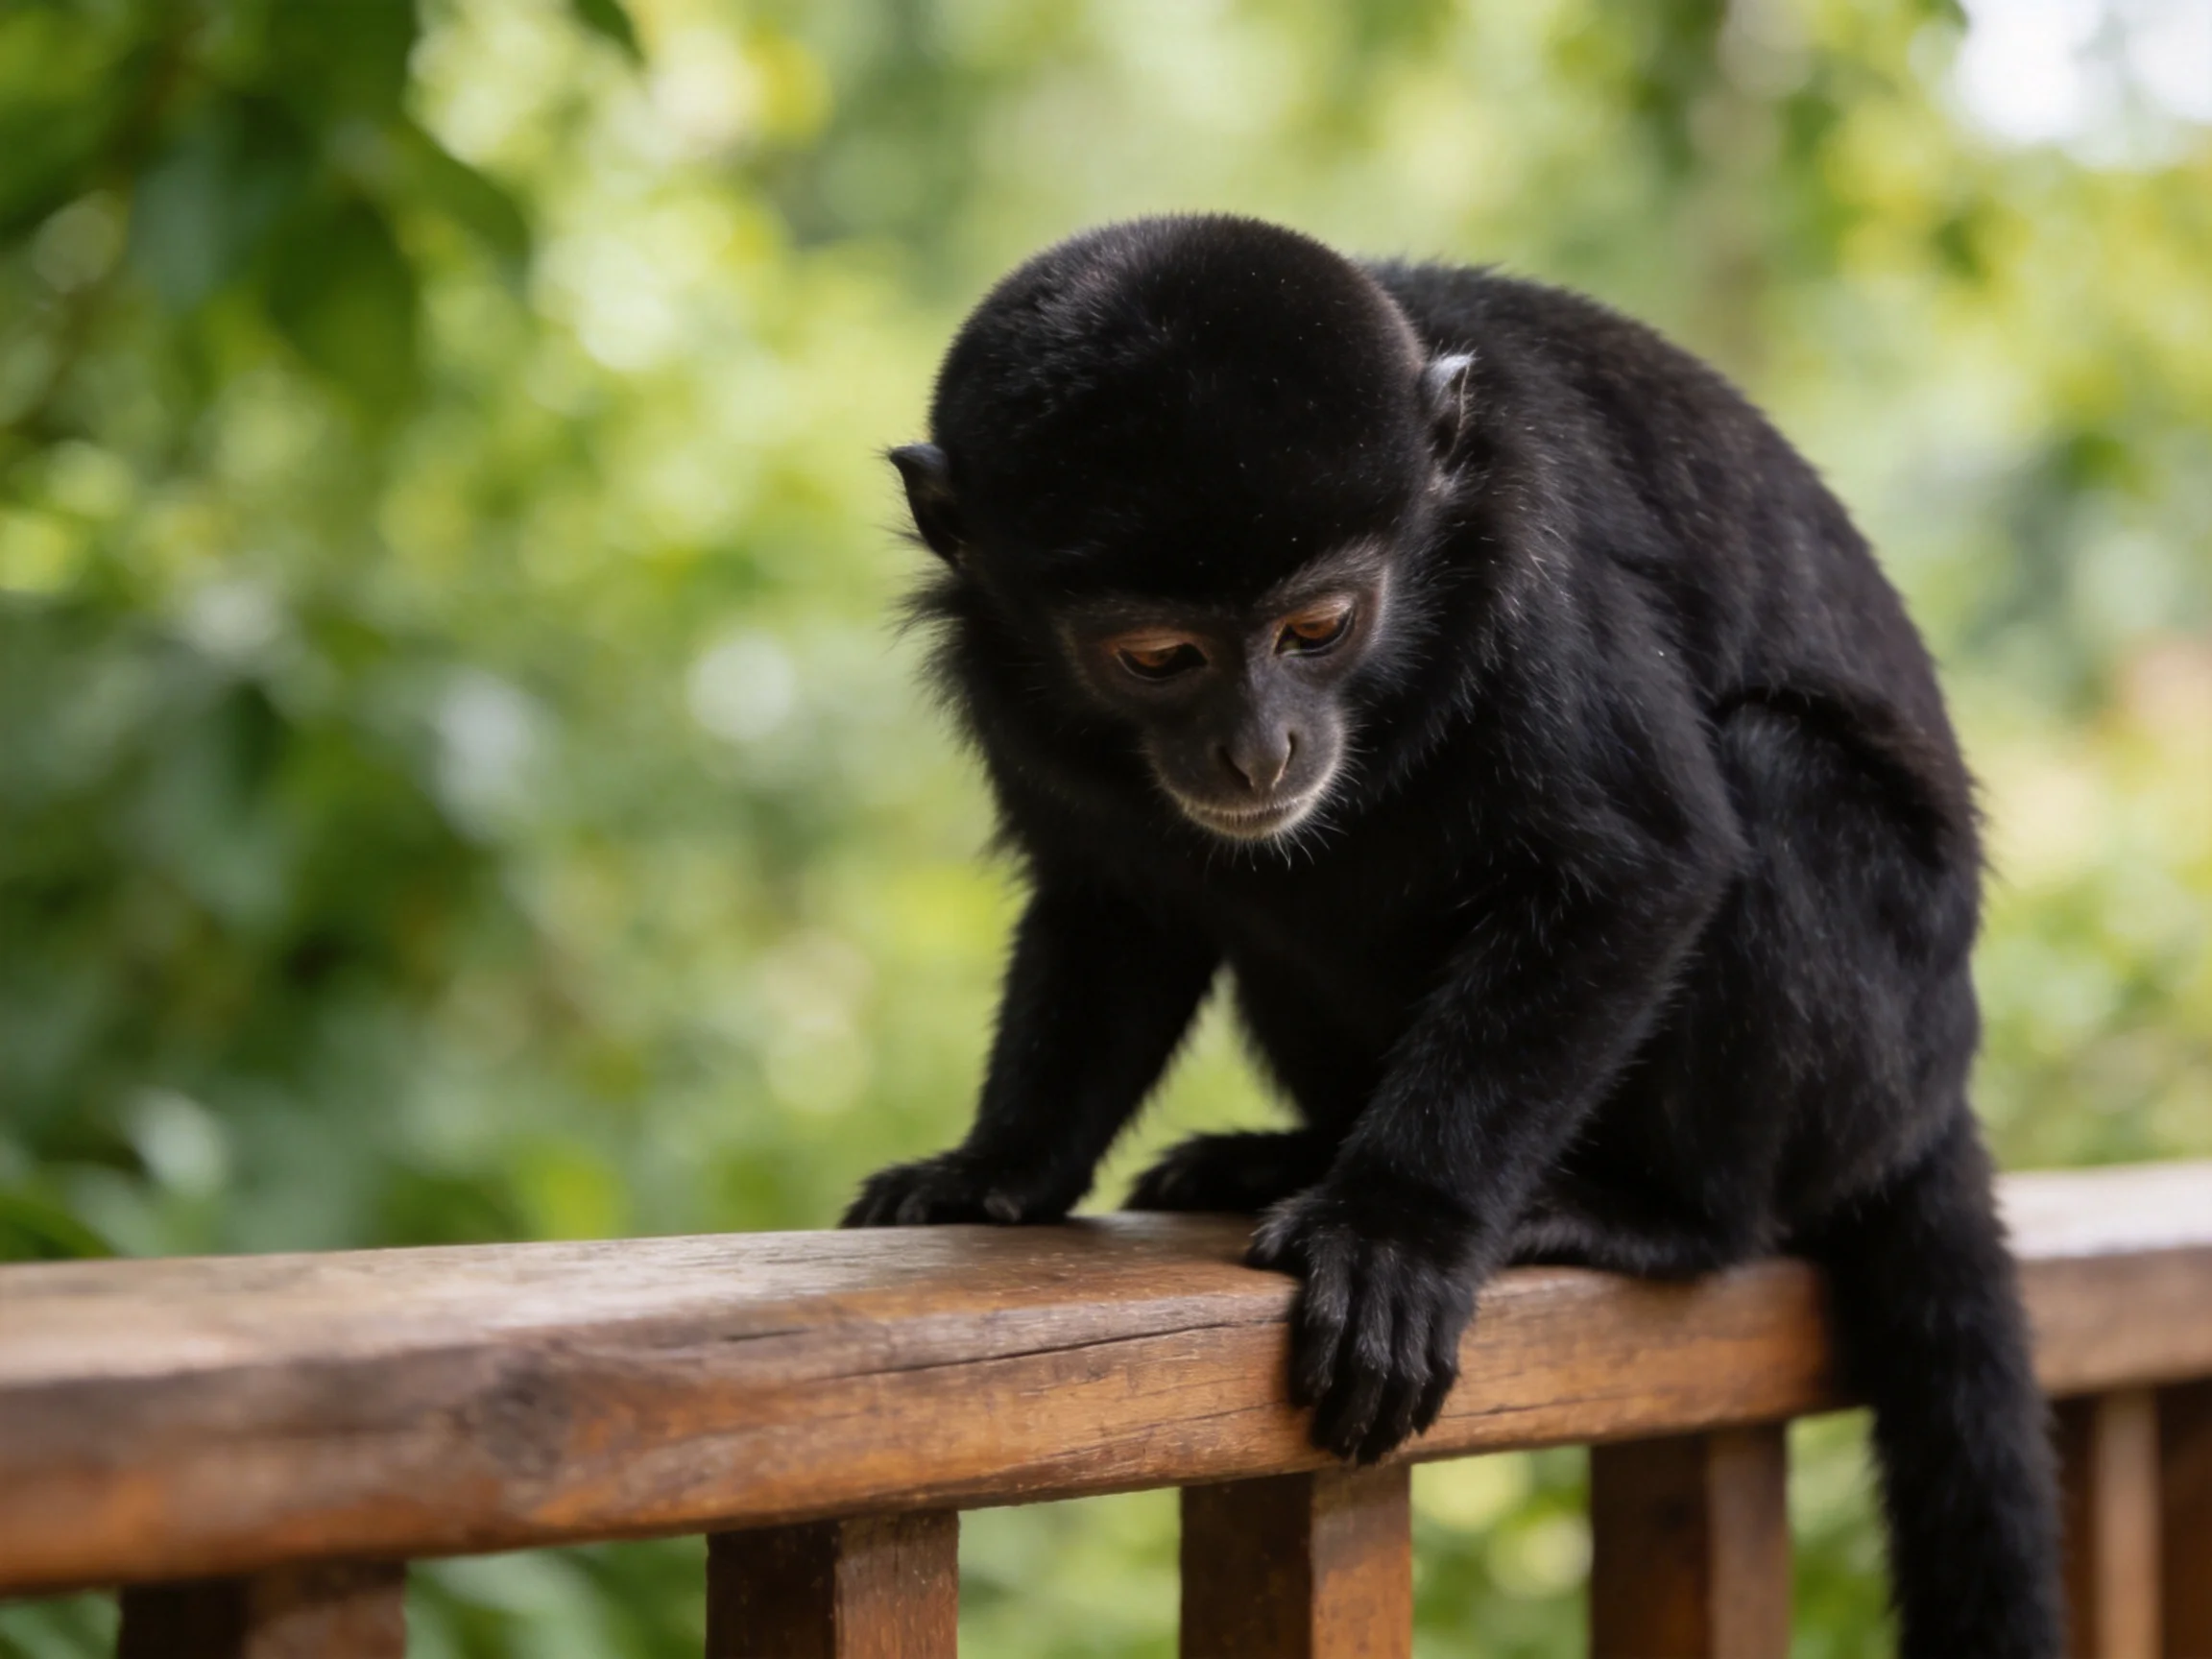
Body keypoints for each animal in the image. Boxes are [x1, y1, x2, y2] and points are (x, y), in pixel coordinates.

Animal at [841, 215, 2061, 1658]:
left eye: (1317, 628)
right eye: (1157, 657)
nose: (1260, 748)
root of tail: (1937, 1089)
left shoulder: (1530, 562)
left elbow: (1635, 868)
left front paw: (1399, 1232)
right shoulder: (1008, 671)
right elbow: (1115, 903)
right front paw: (996, 1167)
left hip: (1870, 1058)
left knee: (1778, 775)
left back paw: (1664, 1220)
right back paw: (1288, 1152)